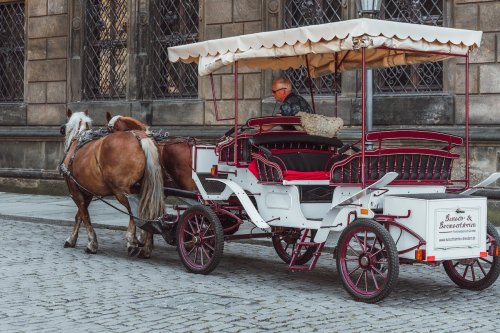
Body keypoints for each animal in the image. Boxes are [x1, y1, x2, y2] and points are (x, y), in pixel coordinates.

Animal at [61, 110, 164, 255]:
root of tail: (141, 137)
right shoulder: (87, 192)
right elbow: (79, 215)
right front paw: (72, 239)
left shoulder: (75, 190)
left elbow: (84, 215)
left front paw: (91, 243)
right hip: (147, 188)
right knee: (149, 210)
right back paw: (147, 246)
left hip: (121, 190)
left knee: (134, 210)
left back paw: (131, 239)